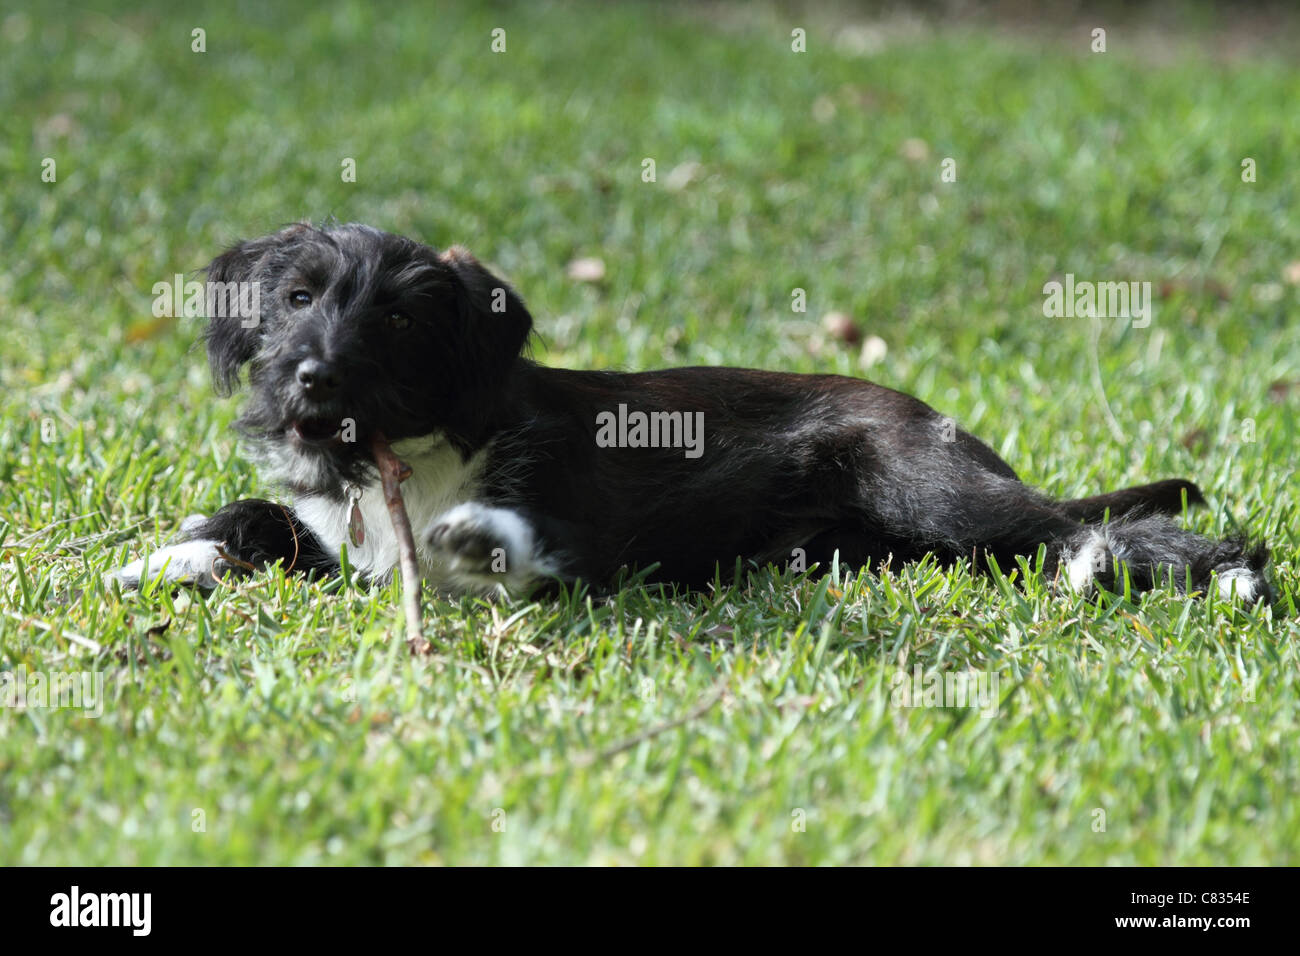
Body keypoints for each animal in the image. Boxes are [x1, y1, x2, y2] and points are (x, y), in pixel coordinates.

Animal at [116, 221, 1274, 600]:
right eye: (296, 297)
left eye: (397, 321)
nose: (310, 380)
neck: (401, 450)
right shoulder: (339, 538)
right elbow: (267, 518)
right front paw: (172, 555)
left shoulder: (581, 538)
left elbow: (500, 547)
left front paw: (476, 541)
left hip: (927, 484)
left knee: (1088, 527)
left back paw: (1202, 573)